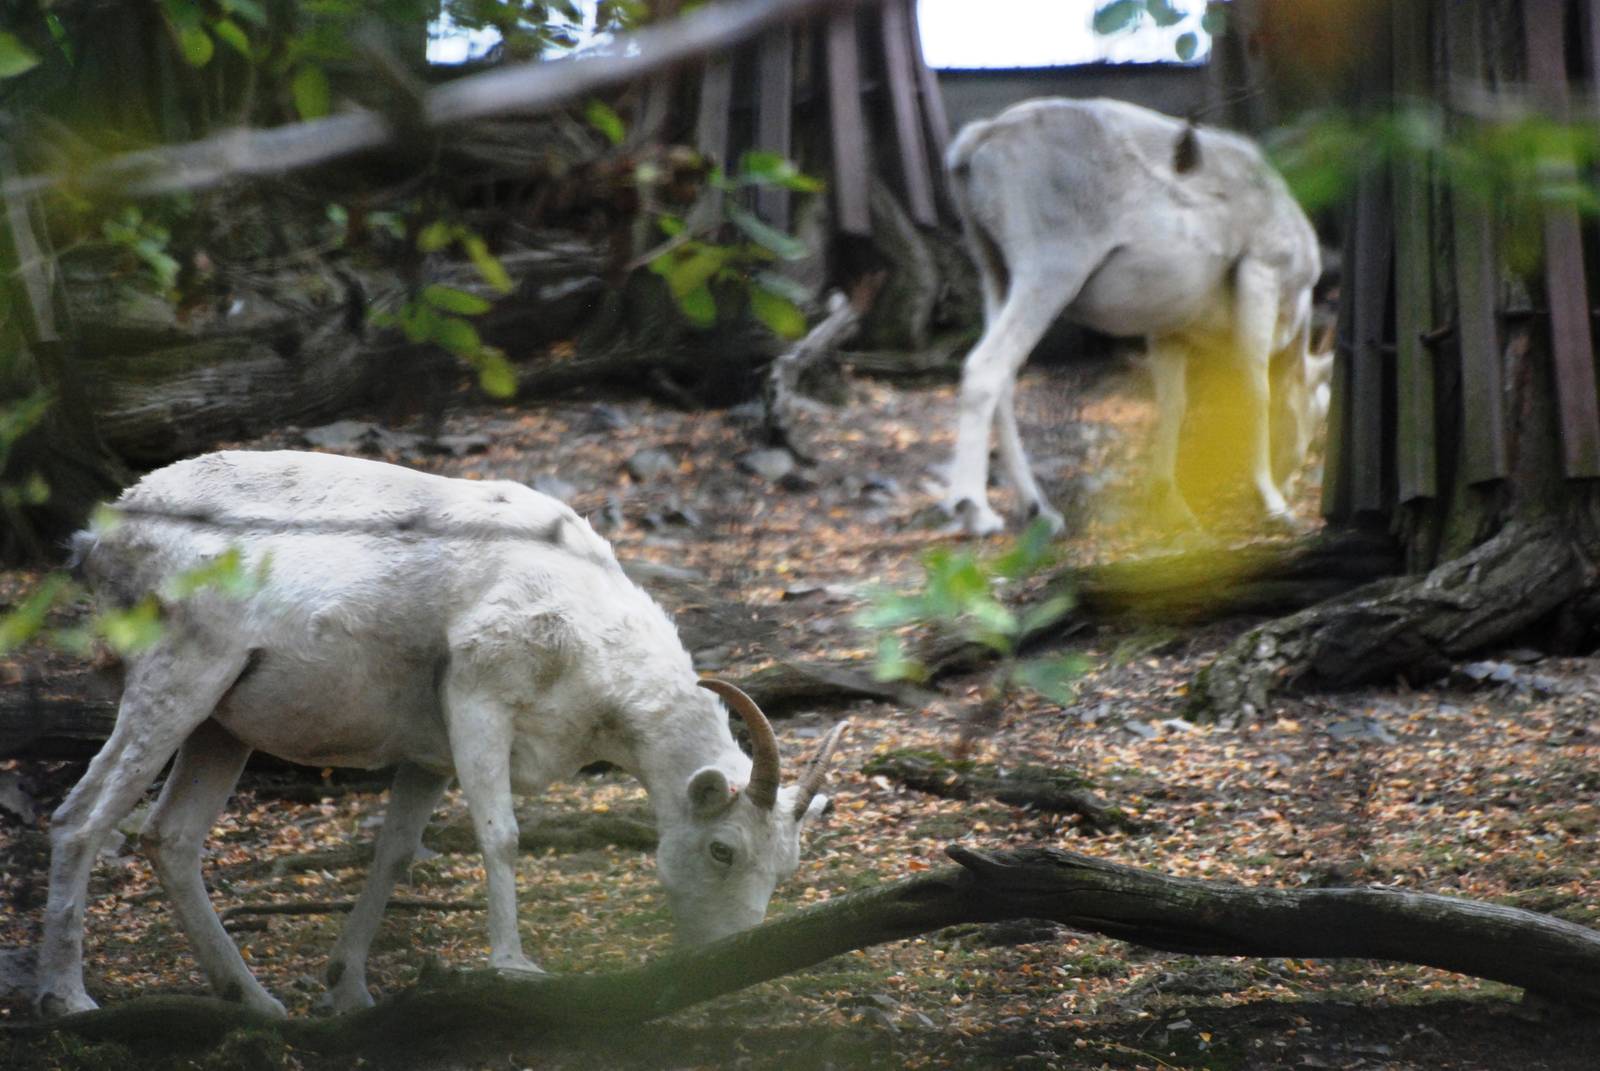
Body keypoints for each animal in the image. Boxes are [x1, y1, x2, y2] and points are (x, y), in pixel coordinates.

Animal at [34, 449, 846, 1017]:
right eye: (722, 849)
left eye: (787, 868)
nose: (735, 957)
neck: (585, 634)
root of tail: (101, 536)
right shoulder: (478, 699)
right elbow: (502, 837)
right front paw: (513, 967)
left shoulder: (428, 757)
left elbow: (395, 854)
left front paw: (349, 993)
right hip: (177, 678)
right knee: (83, 817)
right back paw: (68, 1000)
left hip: (220, 728)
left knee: (170, 837)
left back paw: (257, 1004)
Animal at [941, 97, 1325, 535]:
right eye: (1317, 418)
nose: (1291, 482)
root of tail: (979, 139)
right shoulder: (1262, 274)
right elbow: (1256, 390)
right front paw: (1275, 506)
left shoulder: (1170, 330)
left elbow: (1173, 405)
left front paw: (1172, 506)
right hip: (1049, 274)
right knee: (985, 367)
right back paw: (975, 511)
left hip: (996, 274)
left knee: (1003, 378)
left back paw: (1041, 512)